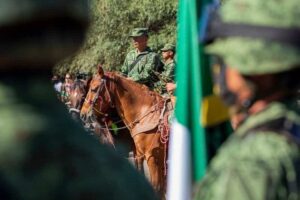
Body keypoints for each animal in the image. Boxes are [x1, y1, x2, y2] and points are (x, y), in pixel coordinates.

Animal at [81, 67, 172, 197]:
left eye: (93, 89)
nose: (82, 115)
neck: (145, 115)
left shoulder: (154, 158)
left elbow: (157, 188)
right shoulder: (139, 155)